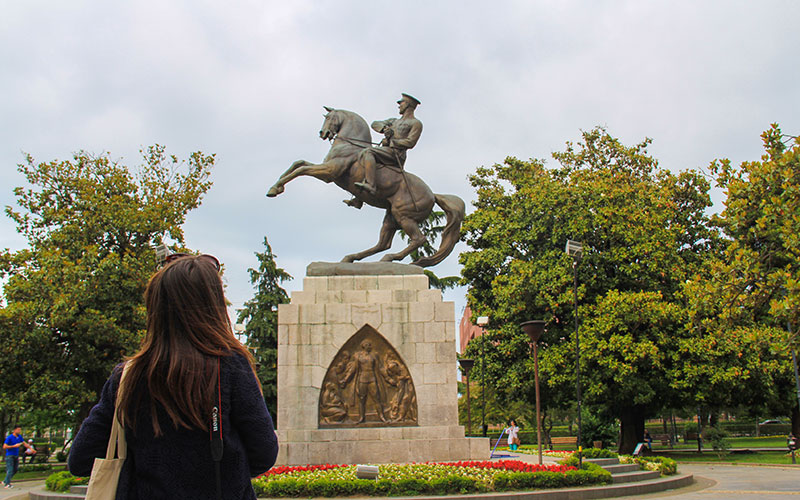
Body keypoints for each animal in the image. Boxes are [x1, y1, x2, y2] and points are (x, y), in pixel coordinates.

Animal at [268, 107, 462, 268]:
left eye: (329, 117)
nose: (322, 133)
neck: (350, 145)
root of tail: (433, 194)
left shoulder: (329, 172)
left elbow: (301, 169)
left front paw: (275, 189)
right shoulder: (325, 168)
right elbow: (298, 163)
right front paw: (275, 186)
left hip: (403, 216)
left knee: (418, 239)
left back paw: (389, 258)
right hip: (392, 218)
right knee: (383, 244)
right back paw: (352, 258)